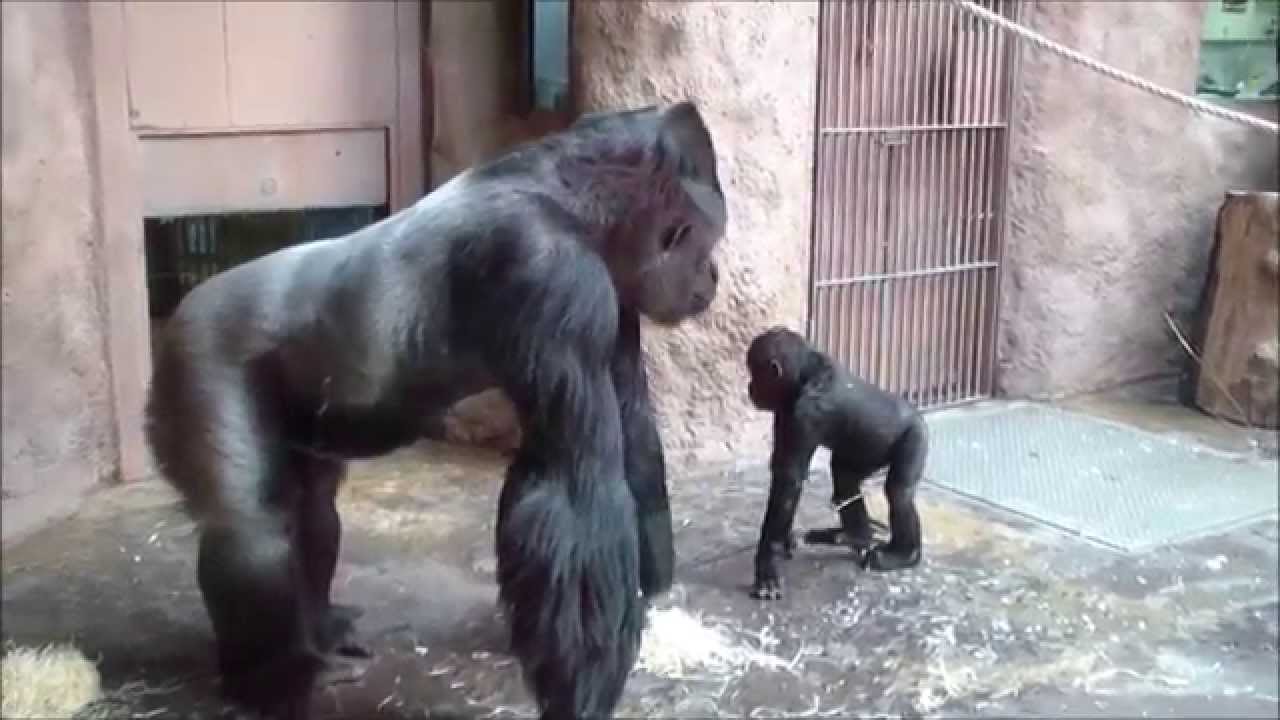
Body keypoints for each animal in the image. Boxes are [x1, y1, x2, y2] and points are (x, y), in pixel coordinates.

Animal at [143, 102, 727, 719]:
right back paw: (272, 681)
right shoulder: (555, 273)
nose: (713, 276)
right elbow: (574, 485)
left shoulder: (612, 297)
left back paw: (319, 631)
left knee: (314, 508)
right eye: (706, 249)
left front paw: (652, 586)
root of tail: (182, 308)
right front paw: (584, 692)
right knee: (252, 531)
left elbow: (631, 433)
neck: (571, 197)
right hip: (197, 349)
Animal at [743, 326, 927, 600]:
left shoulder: (805, 414)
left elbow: (789, 479)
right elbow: (784, 475)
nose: (750, 386)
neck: (804, 376)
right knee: (845, 477)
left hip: (916, 436)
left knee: (899, 493)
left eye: (755, 372)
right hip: (866, 454)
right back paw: (855, 536)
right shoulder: (785, 411)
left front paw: (767, 567)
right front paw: (784, 540)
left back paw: (903, 555)